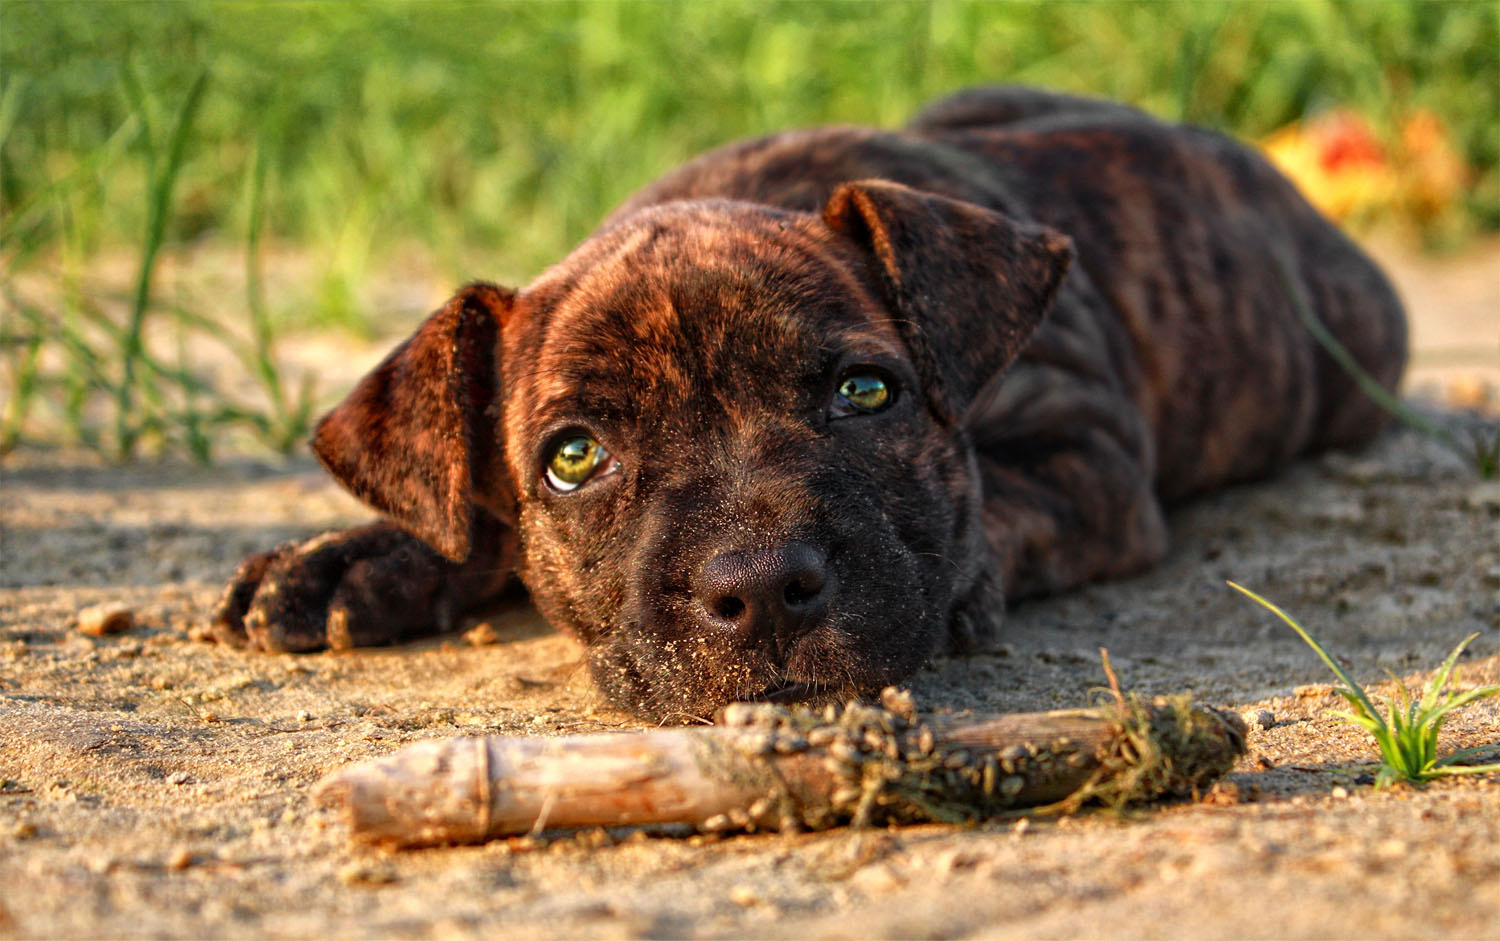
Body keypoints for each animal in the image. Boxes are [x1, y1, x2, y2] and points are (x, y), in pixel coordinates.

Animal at [208, 86, 1404, 720]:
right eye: (573, 458)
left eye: (865, 392)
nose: (763, 590)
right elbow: (470, 516)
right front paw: (347, 559)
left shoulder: (1087, 450)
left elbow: (999, 505)